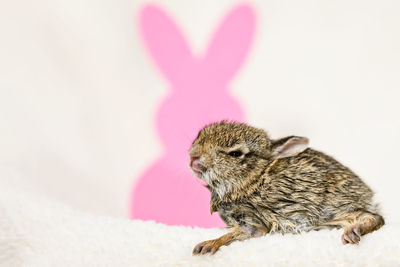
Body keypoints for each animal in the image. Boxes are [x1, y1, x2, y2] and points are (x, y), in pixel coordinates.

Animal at [190, 121, 384, 255]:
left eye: (235, 154)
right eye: (198, 136)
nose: (193, 157)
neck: (253, 179)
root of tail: (368, 196)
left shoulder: (253, 219)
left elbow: (240, 233)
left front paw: (207, 245)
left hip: (333, 211)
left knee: (375, 218)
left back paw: (353, 232)